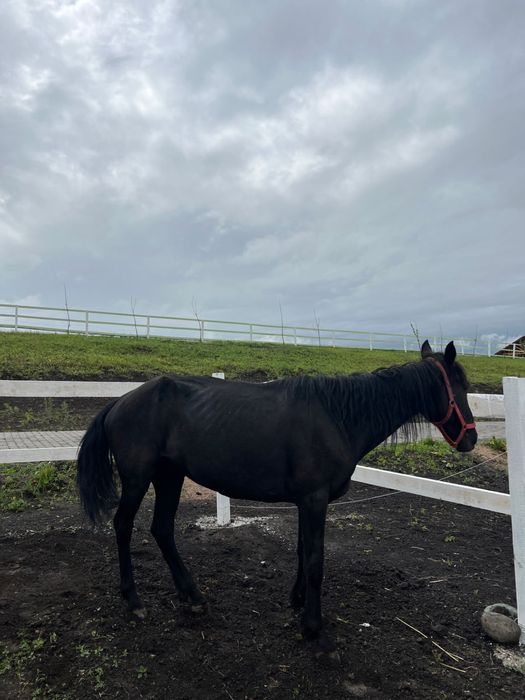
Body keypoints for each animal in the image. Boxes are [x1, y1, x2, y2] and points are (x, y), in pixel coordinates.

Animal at [77, 340, 477, 654]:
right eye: (459, 386)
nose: (470, 438)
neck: (336, 417)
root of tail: (119, 403)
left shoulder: (307, 501)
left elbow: (302, 551)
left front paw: (297, 602)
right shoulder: (314, 499)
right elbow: (315, 560)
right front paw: (314, 628)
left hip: (169, 477)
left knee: (162, 530)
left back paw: (192, 597)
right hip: (137, 479)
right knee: (124, 525)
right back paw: (133, 600)